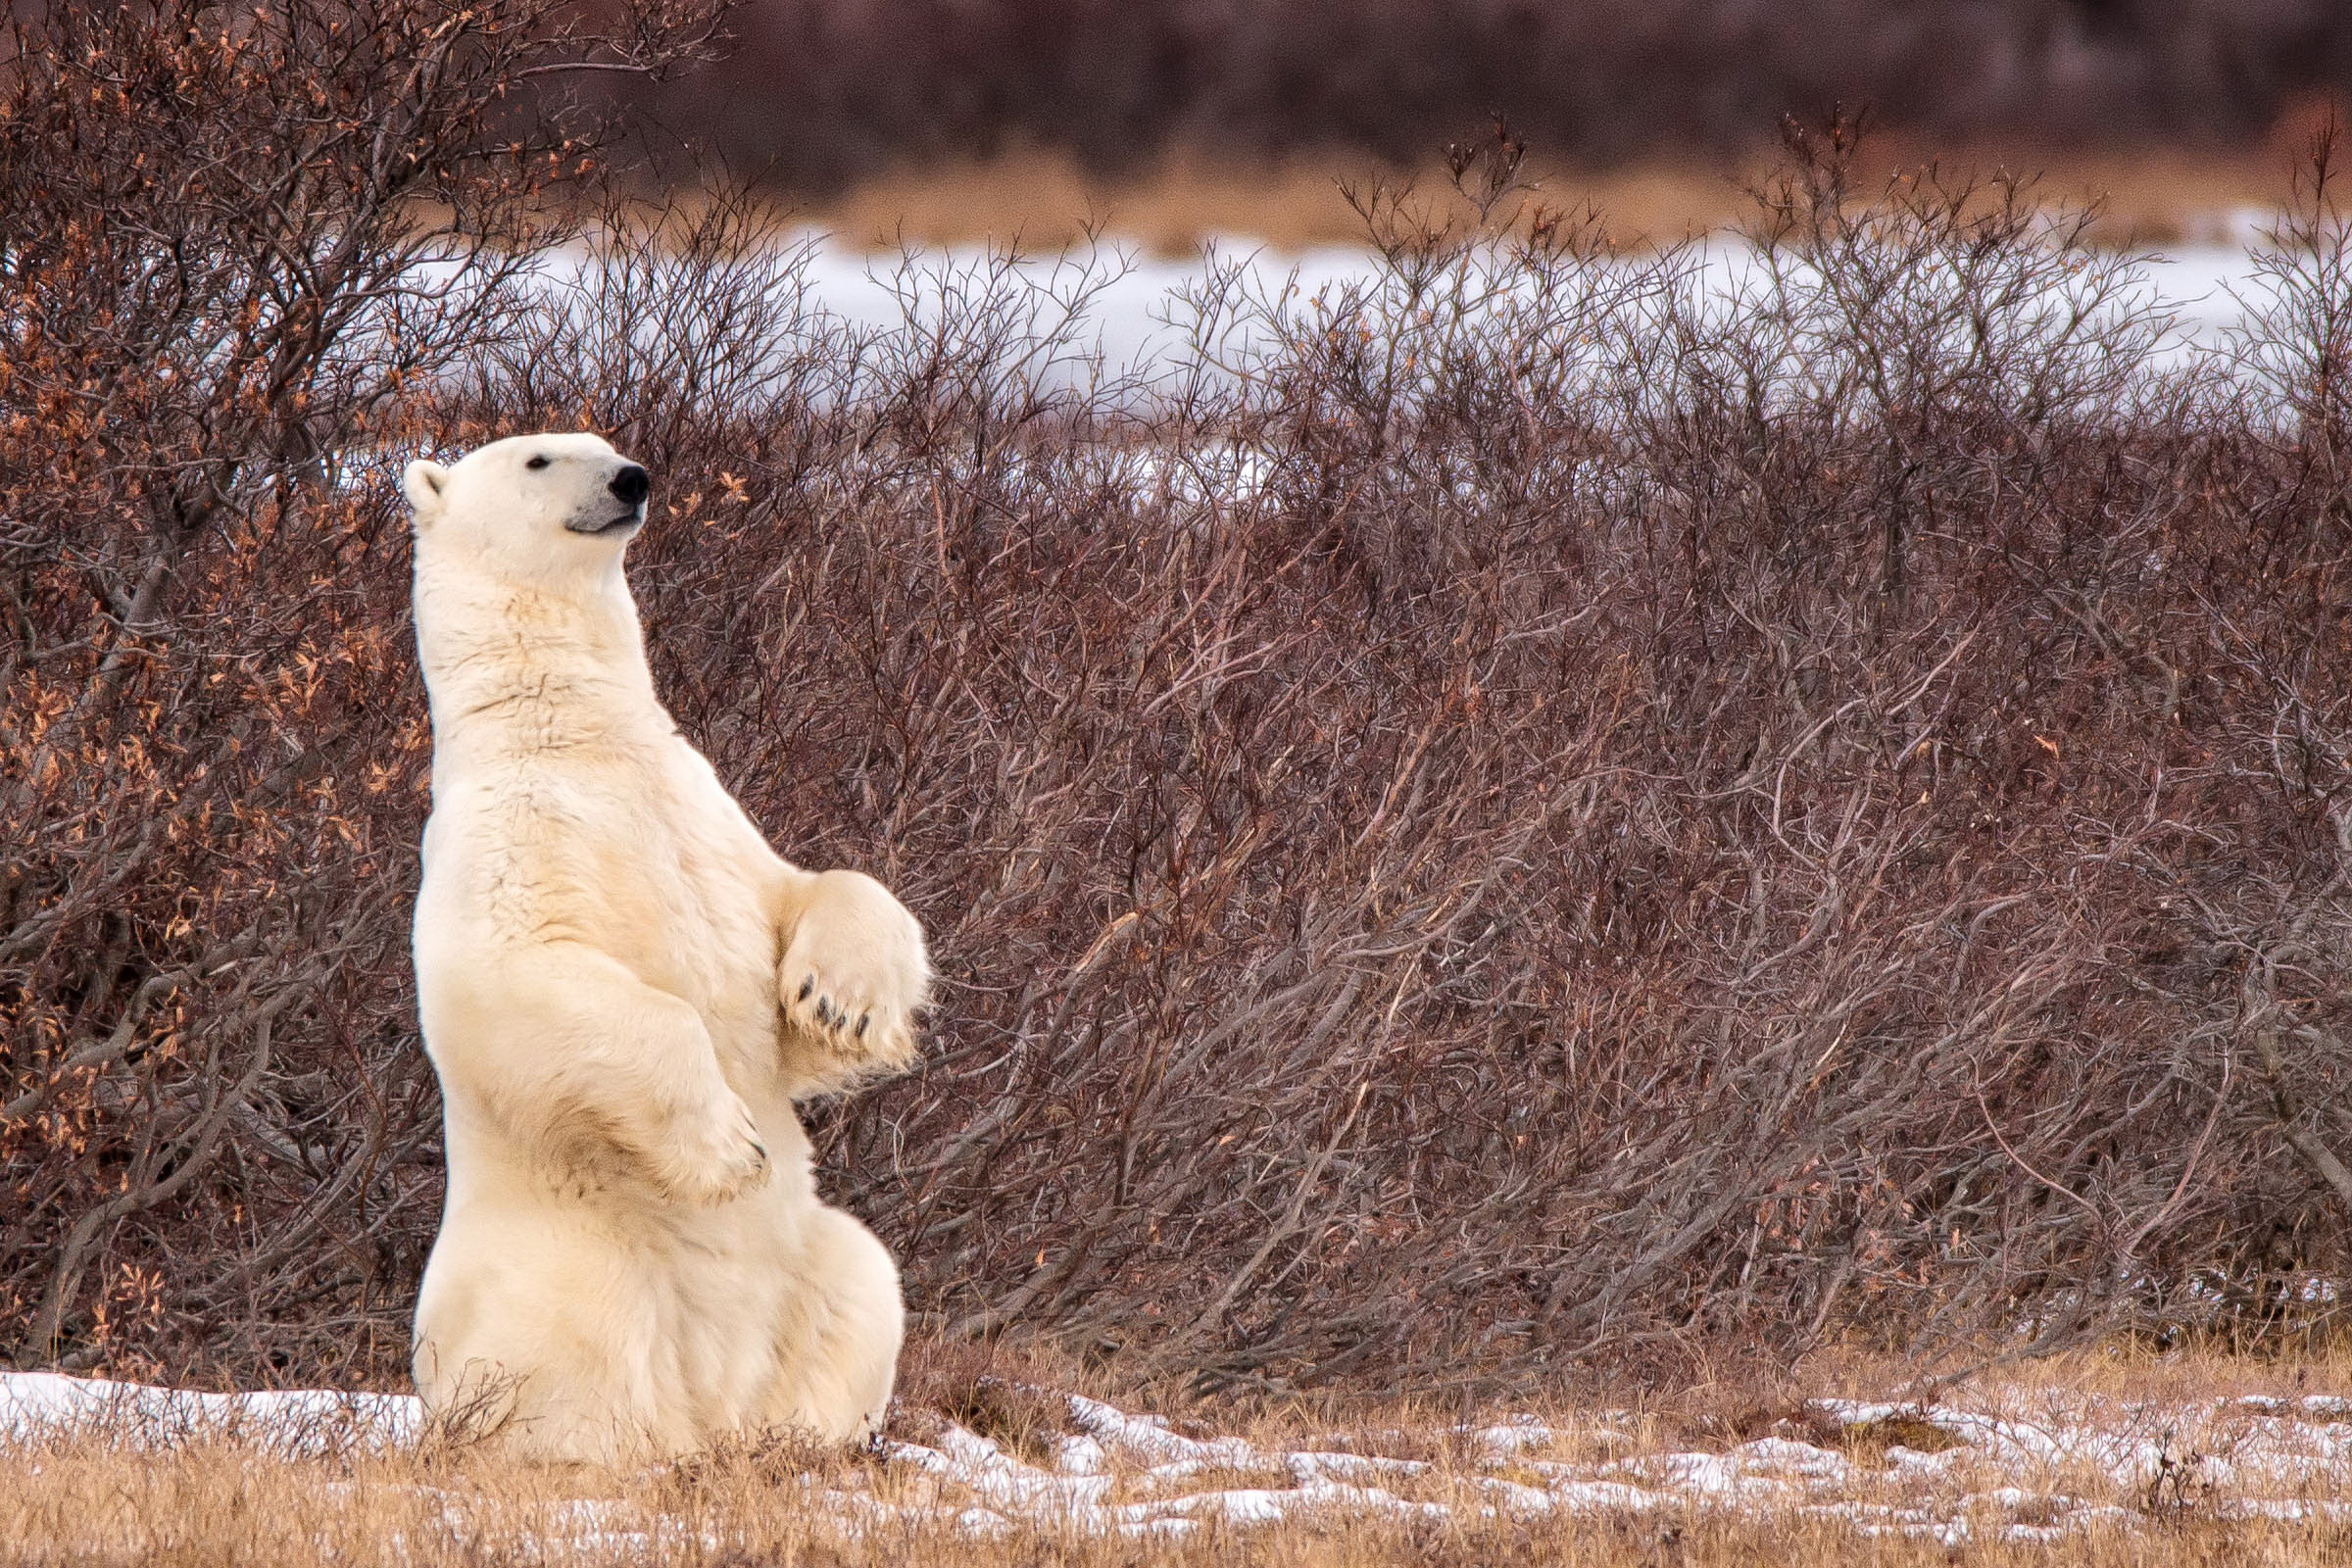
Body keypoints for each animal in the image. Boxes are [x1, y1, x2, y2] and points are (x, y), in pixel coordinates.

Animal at [404, 429, 926, 1457]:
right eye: (538, 458)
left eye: (603, 445)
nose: (631, 479)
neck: (573, 737)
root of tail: (714, 1399)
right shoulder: (501, 848)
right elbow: (516, 976)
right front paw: (731, 1148)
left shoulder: (707, 820)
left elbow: (805, 902)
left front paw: (841, 1001)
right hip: (565, 1256)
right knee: (570, 1342)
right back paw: (597, 1448)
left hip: (808, 1262)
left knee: (863, 1281)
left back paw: (801, 1442)